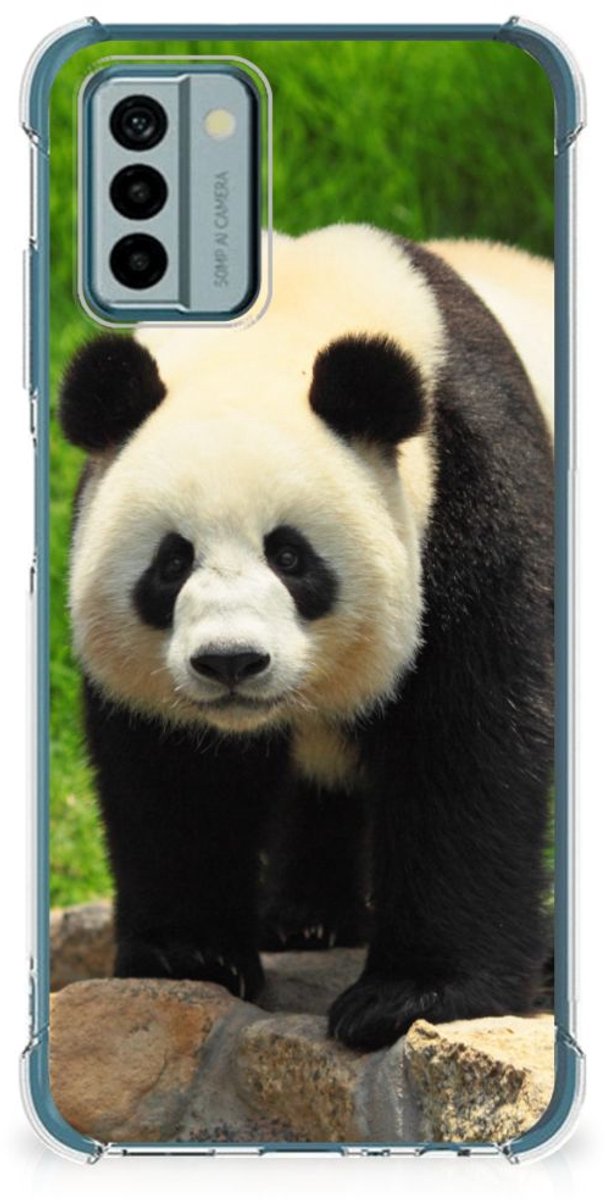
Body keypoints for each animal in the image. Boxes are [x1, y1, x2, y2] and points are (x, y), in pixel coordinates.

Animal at [59, 225, 554, 1051]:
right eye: (171, 562)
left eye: (289, 556)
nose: (230, 662)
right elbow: (173, 772)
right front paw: (189, 956)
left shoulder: (473, 491)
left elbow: (470, 741)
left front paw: (410, 996)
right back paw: (306, 920)